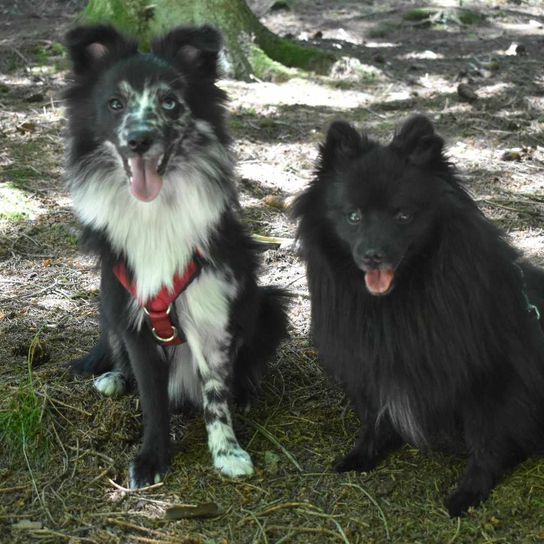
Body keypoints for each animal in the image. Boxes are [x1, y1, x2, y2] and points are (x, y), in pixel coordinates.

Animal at [63, 24, 288, 488]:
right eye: (114, 104)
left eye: (169, 101)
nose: (139, 140)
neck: (156, 213)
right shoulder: (134, 316)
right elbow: (152, 398)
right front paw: (152, 457)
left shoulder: (210, 314)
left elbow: (215, 395)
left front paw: (227, 452)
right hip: (109, 304)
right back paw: (114, 377)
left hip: (271, 305)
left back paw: (246, 392)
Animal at [296, 115, 544, 516]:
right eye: (353, 216)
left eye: (403, 215)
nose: (373, 255)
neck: (399, 302)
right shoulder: (372, 365)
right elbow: (375, 417)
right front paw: (363, 454)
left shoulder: (491, 377)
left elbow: (486, 439)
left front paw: (470, 492)